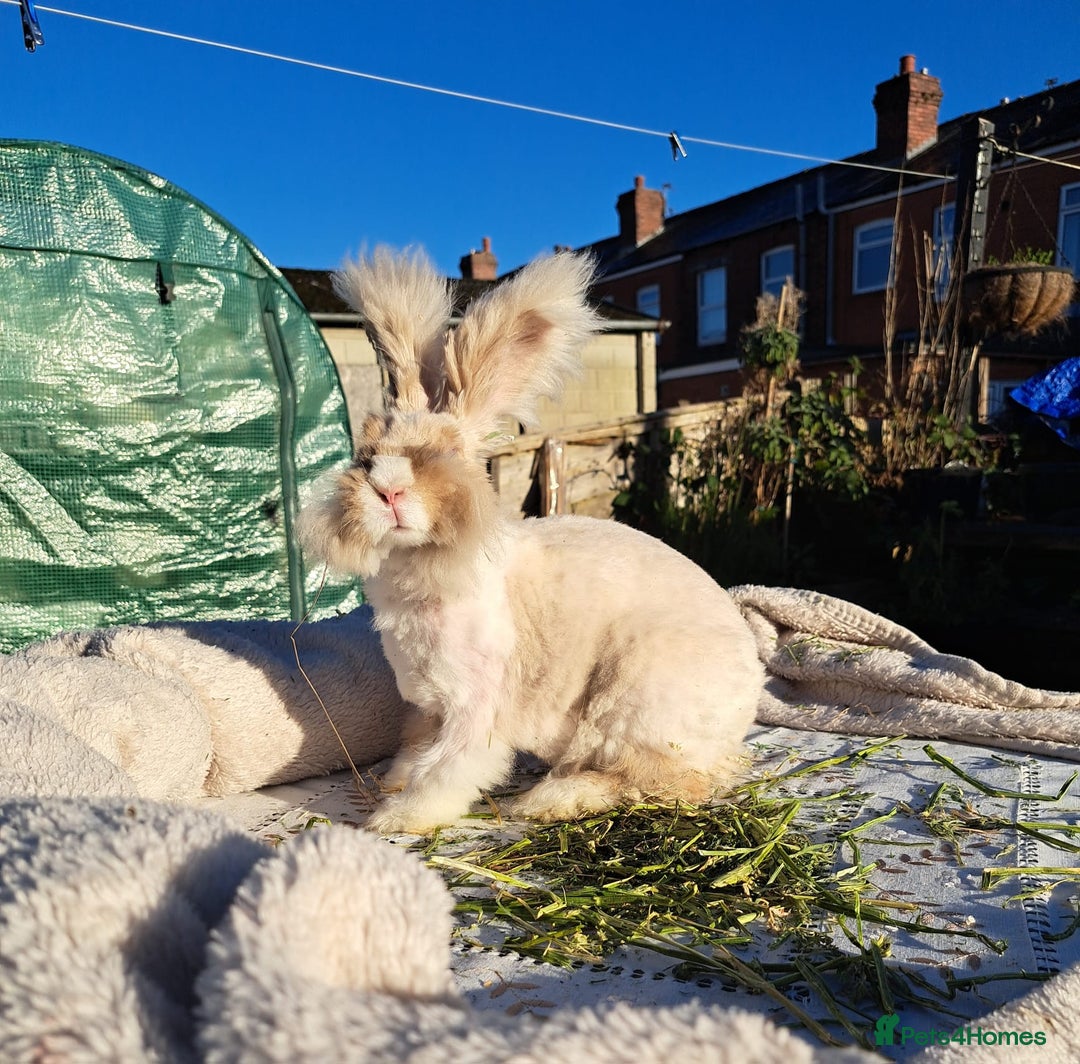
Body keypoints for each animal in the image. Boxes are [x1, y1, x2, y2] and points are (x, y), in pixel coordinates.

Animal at [299, 247, 764, 834]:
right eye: (365, 456)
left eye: (446, 454)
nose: (388, 488)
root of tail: (747, 701)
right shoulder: (428, 709)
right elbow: (415, 752)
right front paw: (391, 784)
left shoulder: (474, 707)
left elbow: (450, 767)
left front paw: (397, 817)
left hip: (634, 702)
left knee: (657, 782)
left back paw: (549, 800)